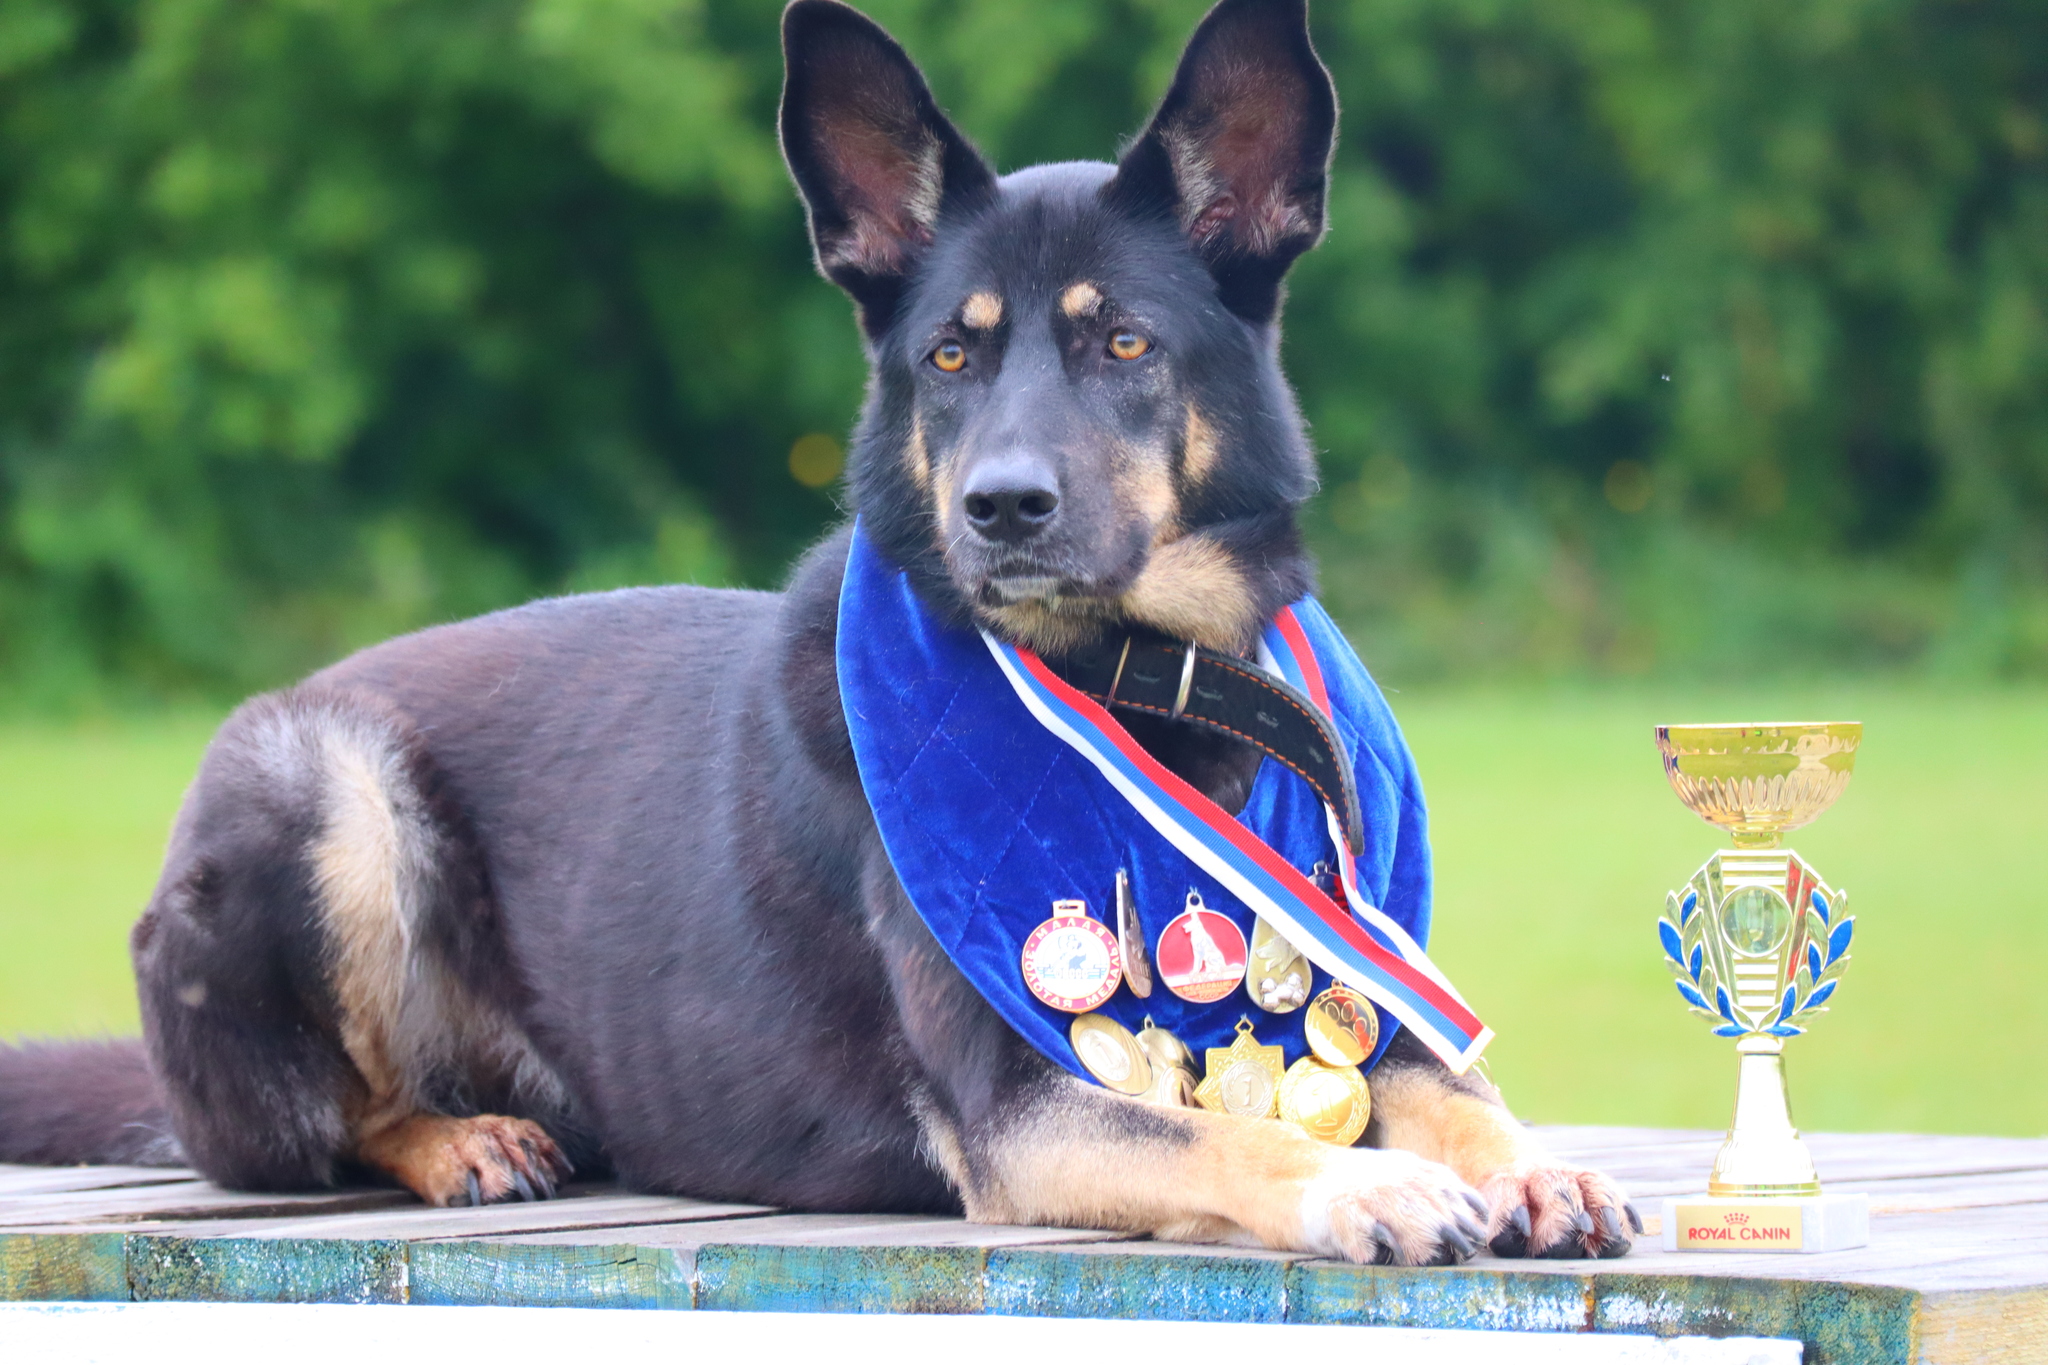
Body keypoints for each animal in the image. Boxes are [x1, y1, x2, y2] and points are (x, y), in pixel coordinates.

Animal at [0, 0, 1630, 1268]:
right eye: (952, 358)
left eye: (1124, 343)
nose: (1002, 508)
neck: (1145, 679)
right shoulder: (1019, 1107)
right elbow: (1218, 1137)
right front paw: (1365, 1183)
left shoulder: (1369, 999)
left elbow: (1455, 1091)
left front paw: (1526, 1161)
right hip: (327, 784)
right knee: (319, 1125)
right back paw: (457, 1139)